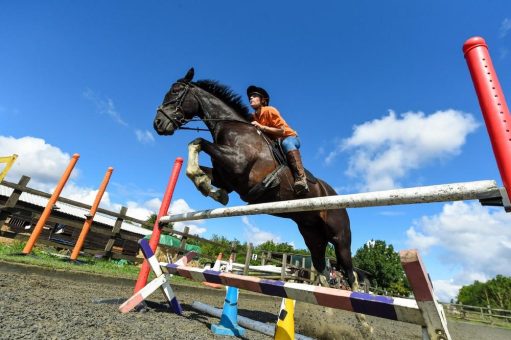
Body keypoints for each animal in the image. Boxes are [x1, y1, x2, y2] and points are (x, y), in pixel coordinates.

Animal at [154, 68, 358, 290]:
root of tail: (335, 196)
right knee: (322, 270)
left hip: (340, 238)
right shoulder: (226, 177)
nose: (157, 124)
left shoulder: (237, 162)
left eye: (175, 91)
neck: (231, 127)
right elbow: (199, 165)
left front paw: (205, 185)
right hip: (312, 236)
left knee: (350, 273)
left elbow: (197, 141)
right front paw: (210, 188)